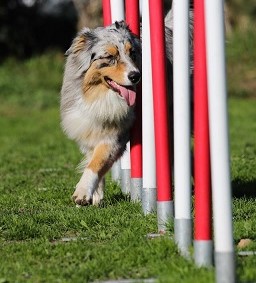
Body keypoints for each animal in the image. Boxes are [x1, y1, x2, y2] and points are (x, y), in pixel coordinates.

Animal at [60, 10, 192, 207]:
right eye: (110, 57)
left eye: (132, 53)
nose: (136, 76)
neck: (100, 95)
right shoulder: (89, 127)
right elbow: (93, 158)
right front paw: (96, 195)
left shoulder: (114, 136)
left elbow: (96, 162)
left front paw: (82, 193)